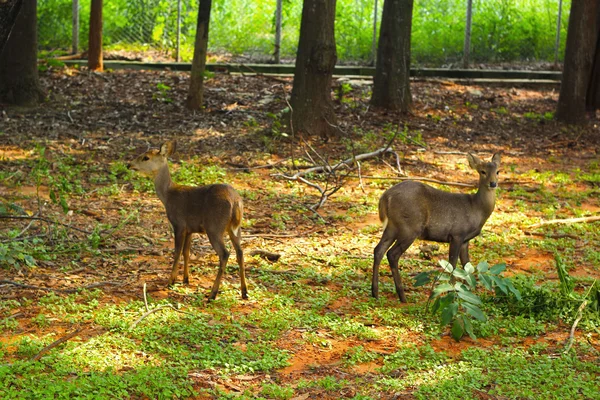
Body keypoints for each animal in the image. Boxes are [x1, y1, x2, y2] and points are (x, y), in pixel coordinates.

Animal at [127, 141, 247, 300]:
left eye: (146, 157)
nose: (129, 164)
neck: (168, 196)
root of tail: (235, 202)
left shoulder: (179, 224)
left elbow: (177, 252)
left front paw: (171, 281)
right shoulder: (190, 229)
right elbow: (186, 252)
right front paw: (185, 279)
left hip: (214, 227)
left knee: (225, 253)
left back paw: (212, 294)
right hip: (235, 228)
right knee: (240, 252)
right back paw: (244, 292)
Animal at [372, 152, 500, 302]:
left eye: (498, 171)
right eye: (483, 171)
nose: (493, 183)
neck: (477, 208)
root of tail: (385, 197)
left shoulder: (465, 240)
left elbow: (467, 265)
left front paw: (469, 293)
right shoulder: (457, 234)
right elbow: (452, 265)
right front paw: (452, 291)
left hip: (393, 226)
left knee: (378, 250)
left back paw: (375, 293)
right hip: (410, 227)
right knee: (392, 254)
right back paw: (402, 296)